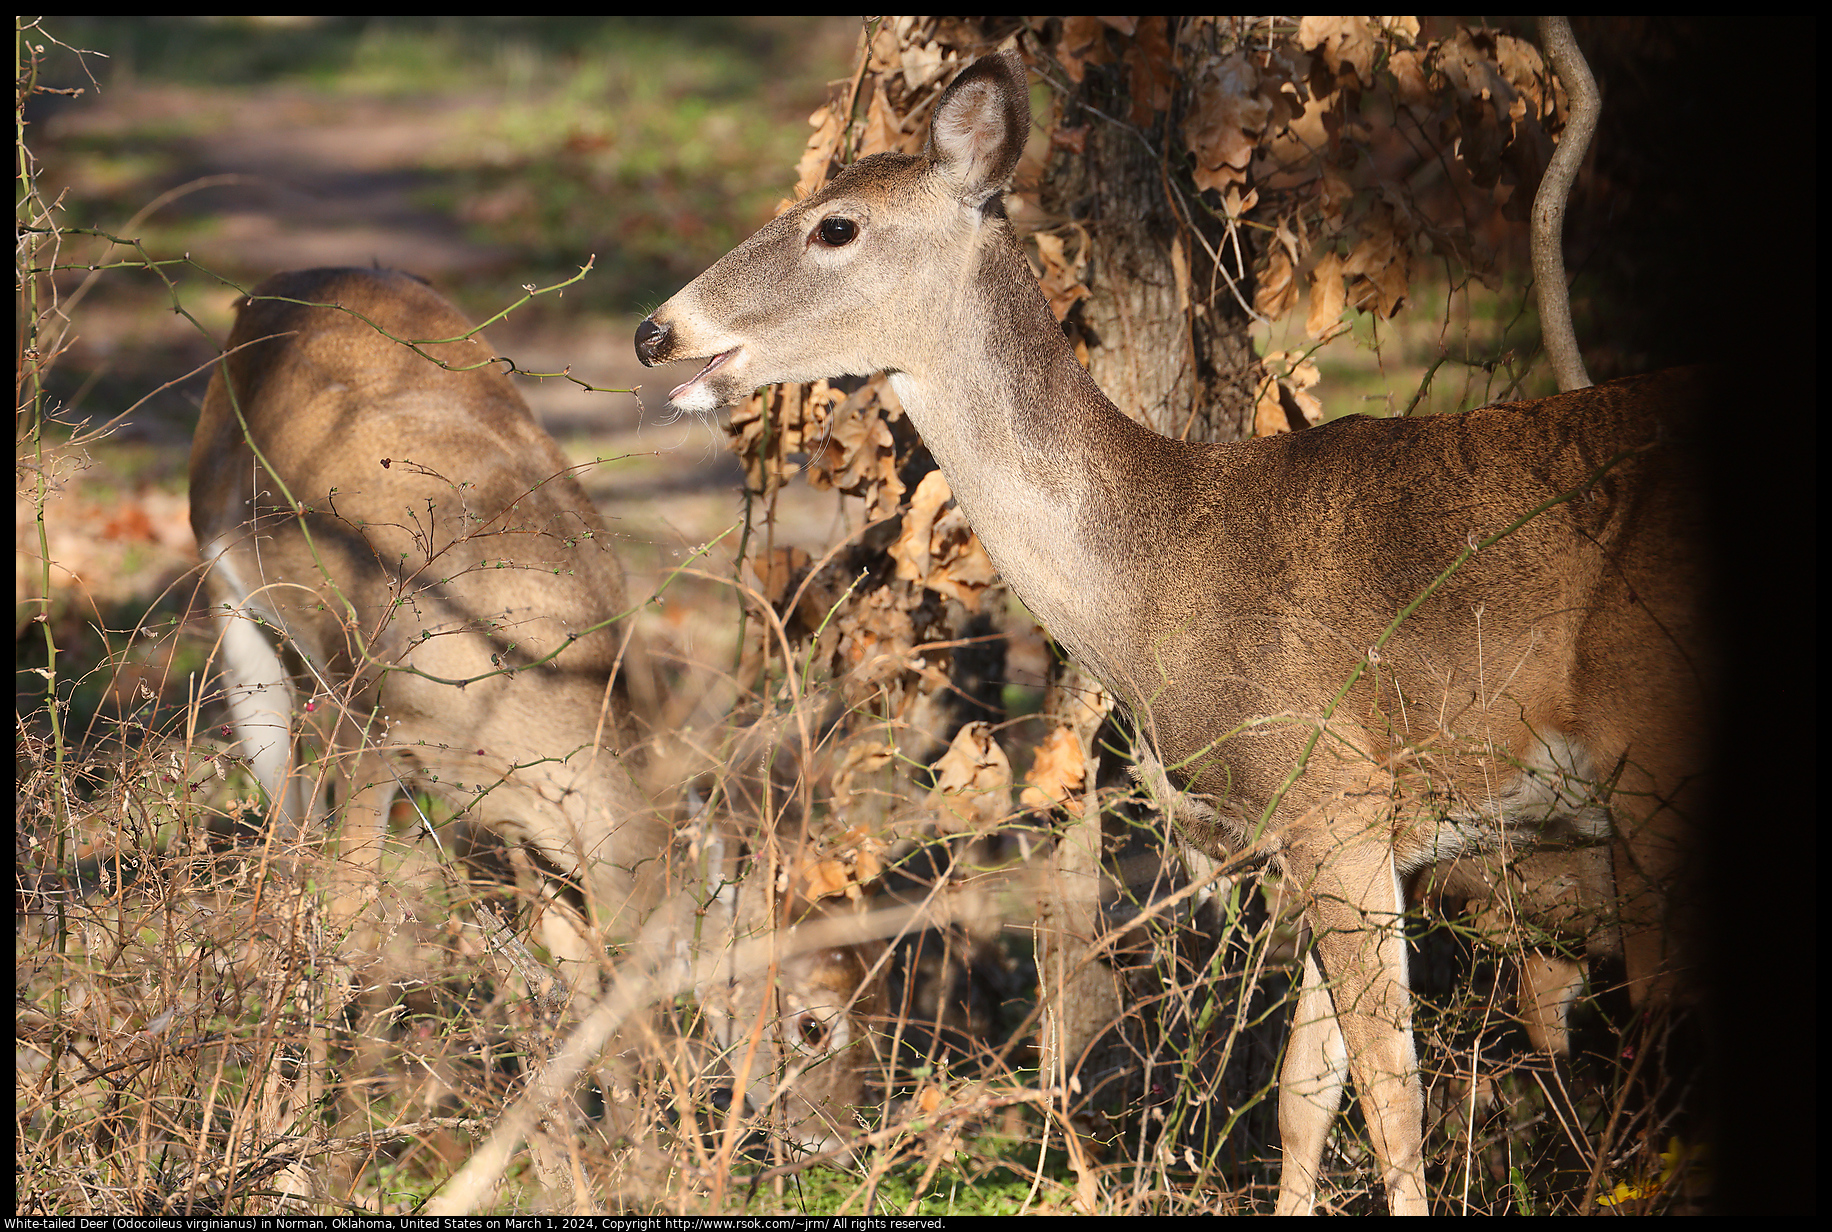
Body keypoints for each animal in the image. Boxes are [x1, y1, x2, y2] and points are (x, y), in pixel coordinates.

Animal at [196, 264, 883, 1158]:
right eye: (813, 1024)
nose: (840, 1142)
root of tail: (268, 290)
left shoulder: (523, 823)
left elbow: (579, 983)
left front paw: (612, 1153)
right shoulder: (371, 725)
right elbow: (347, 931)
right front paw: (293, 1154)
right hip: (233, 607)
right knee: (289, 844)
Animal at [637, 50, 1707, 1210]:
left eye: (835, 226)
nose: (657, 331)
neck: (1159, 575)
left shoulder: (1331, 786)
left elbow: (1392, 1097)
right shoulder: (1326, 831)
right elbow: (1305, 1094)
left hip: (1647, 749)